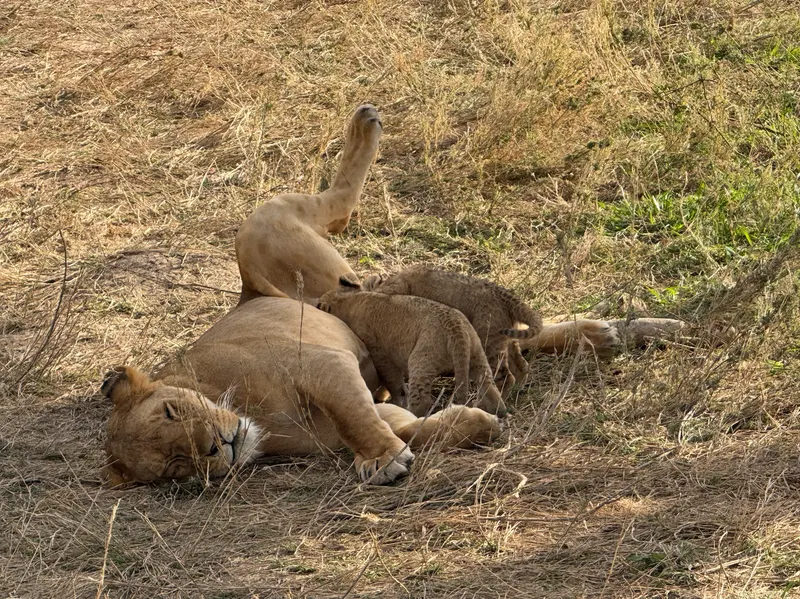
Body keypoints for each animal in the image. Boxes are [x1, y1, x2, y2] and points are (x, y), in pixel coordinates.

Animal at [316, 277, 508, 417]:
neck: (349, 301)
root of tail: (457, 330)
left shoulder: (379, 353)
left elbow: (393, 382)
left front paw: (394, 400)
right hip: (477, 354)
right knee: (489, 387)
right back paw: (498, 411)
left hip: (420, 360)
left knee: (422, 400)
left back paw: (411, 415)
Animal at [362, 266, 543, 394]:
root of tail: (503, 293)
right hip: (506, 339)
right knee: (521, 366)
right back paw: (517, 392)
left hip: (489, 343)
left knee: (505, 377)